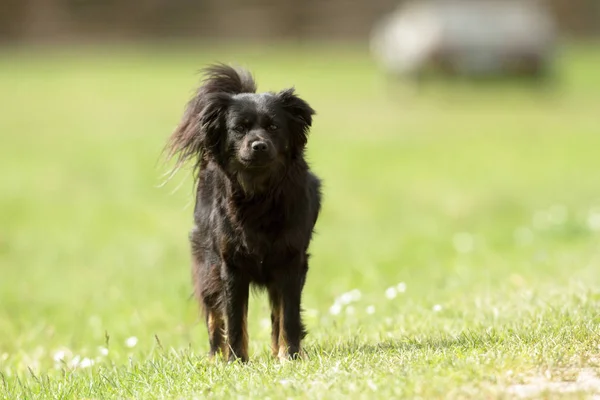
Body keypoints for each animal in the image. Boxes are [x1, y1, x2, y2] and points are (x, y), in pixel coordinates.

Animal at [164, 64, 322, 360]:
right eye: (239, 129)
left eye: (273, 127)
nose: (258, 145)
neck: (259, 194)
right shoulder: (231, 266)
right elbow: (235, 318)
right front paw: (237, 361)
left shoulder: (291, 261)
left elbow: (288, 316)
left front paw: (290, 356)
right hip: (207, 265)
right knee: (214, 315)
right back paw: (215, 357)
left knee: (276, 314)